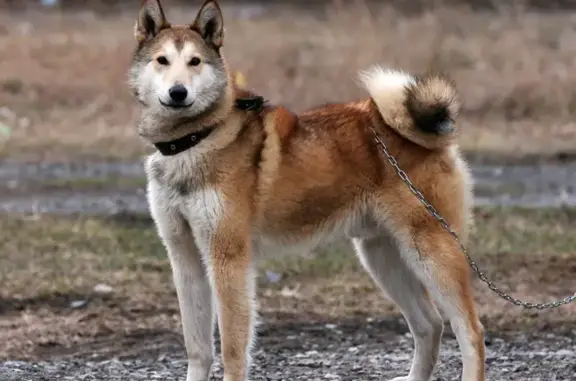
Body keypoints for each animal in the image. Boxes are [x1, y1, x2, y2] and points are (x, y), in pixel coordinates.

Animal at [128, 1, 484, 378]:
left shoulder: (227, 258)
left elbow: (232, 349)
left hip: (432, 253)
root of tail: (428, 135)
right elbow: (197, 347)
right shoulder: (184, 257)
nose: (178, 92)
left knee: (470, 331)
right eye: (162, 60)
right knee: (429, 323)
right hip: (382, 256)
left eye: (195, 61)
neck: (196, 139)